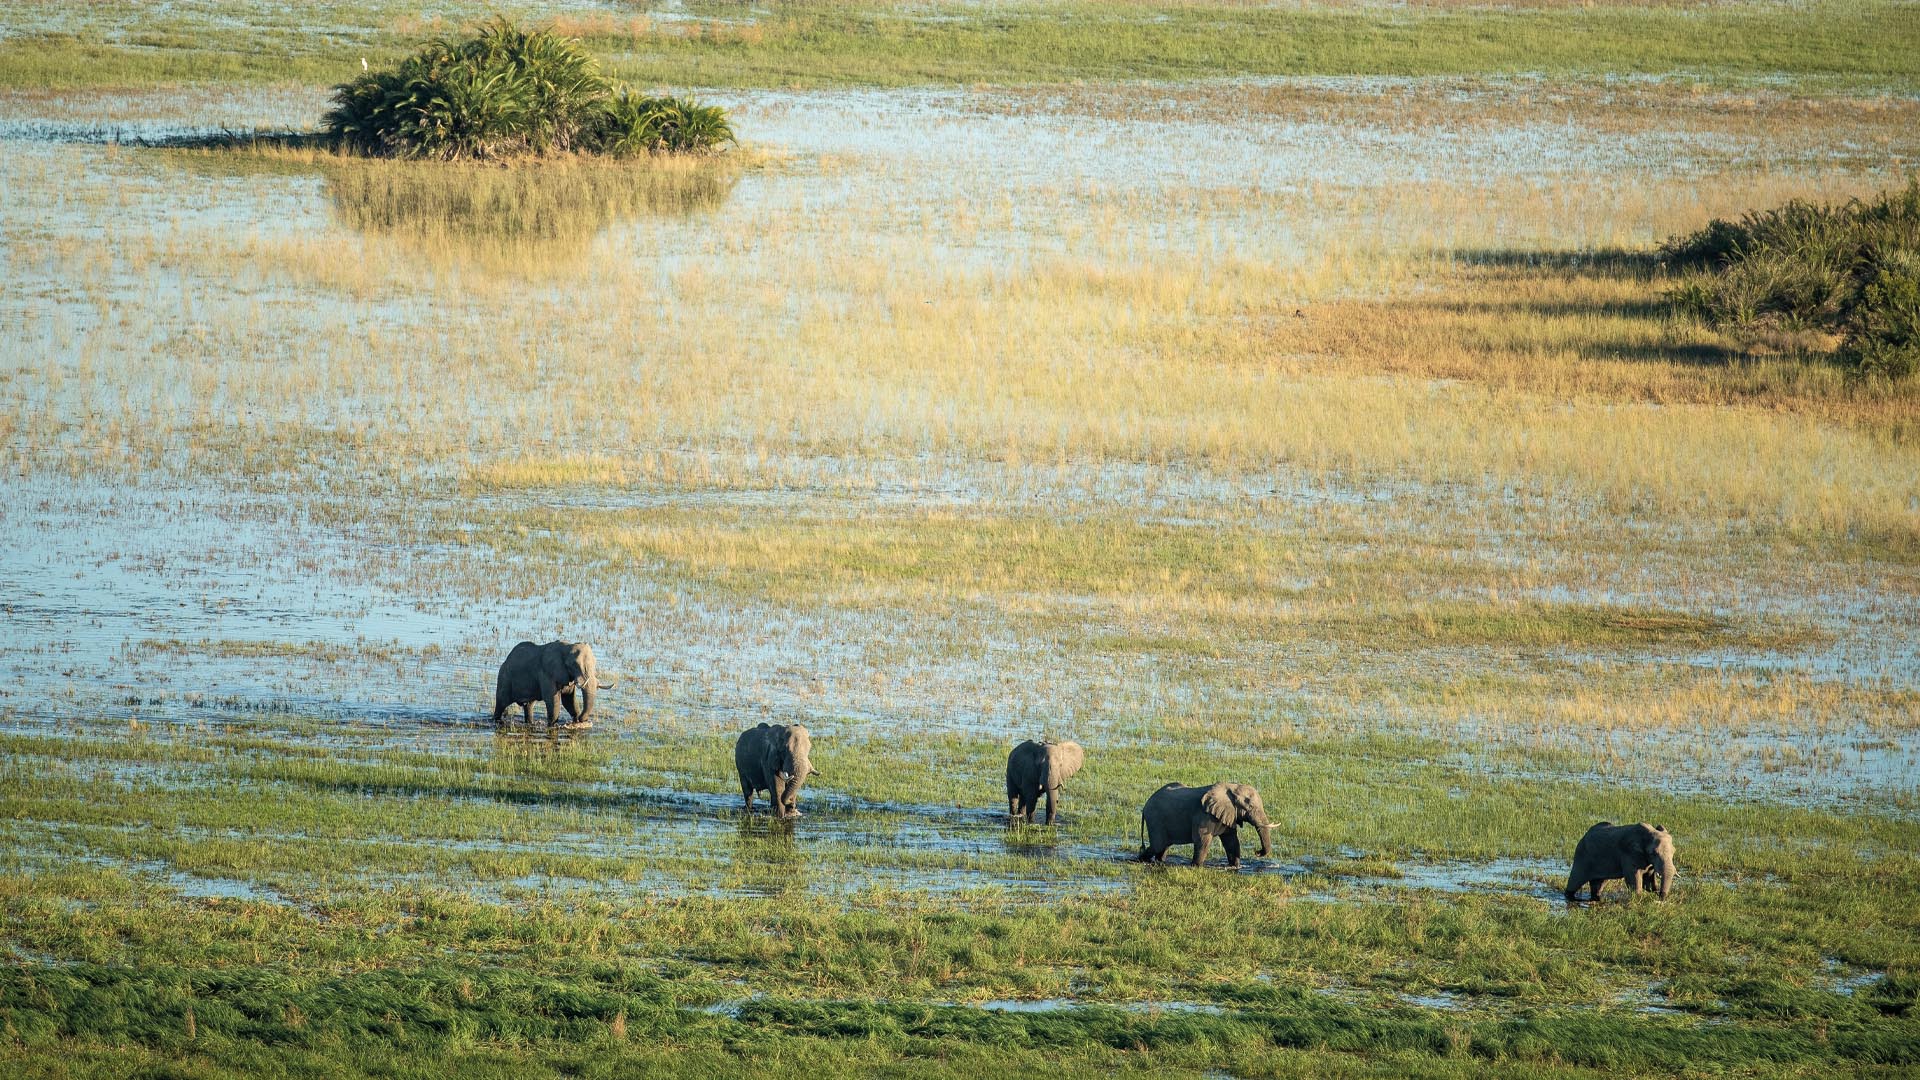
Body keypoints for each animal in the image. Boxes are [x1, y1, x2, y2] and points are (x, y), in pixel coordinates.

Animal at [1136, 776, 1274, 860]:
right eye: (1250, 806)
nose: (1257, 852)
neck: (1231, 787)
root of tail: (1145, 805)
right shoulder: (1203, 816)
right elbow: (1203, 841)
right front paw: (1196, 867)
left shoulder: (1228, 815)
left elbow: (1231, 841)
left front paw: (1235, 868)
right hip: (1155, 820)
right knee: (1157, 846)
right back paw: (1140, 860)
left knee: (1163, 847)